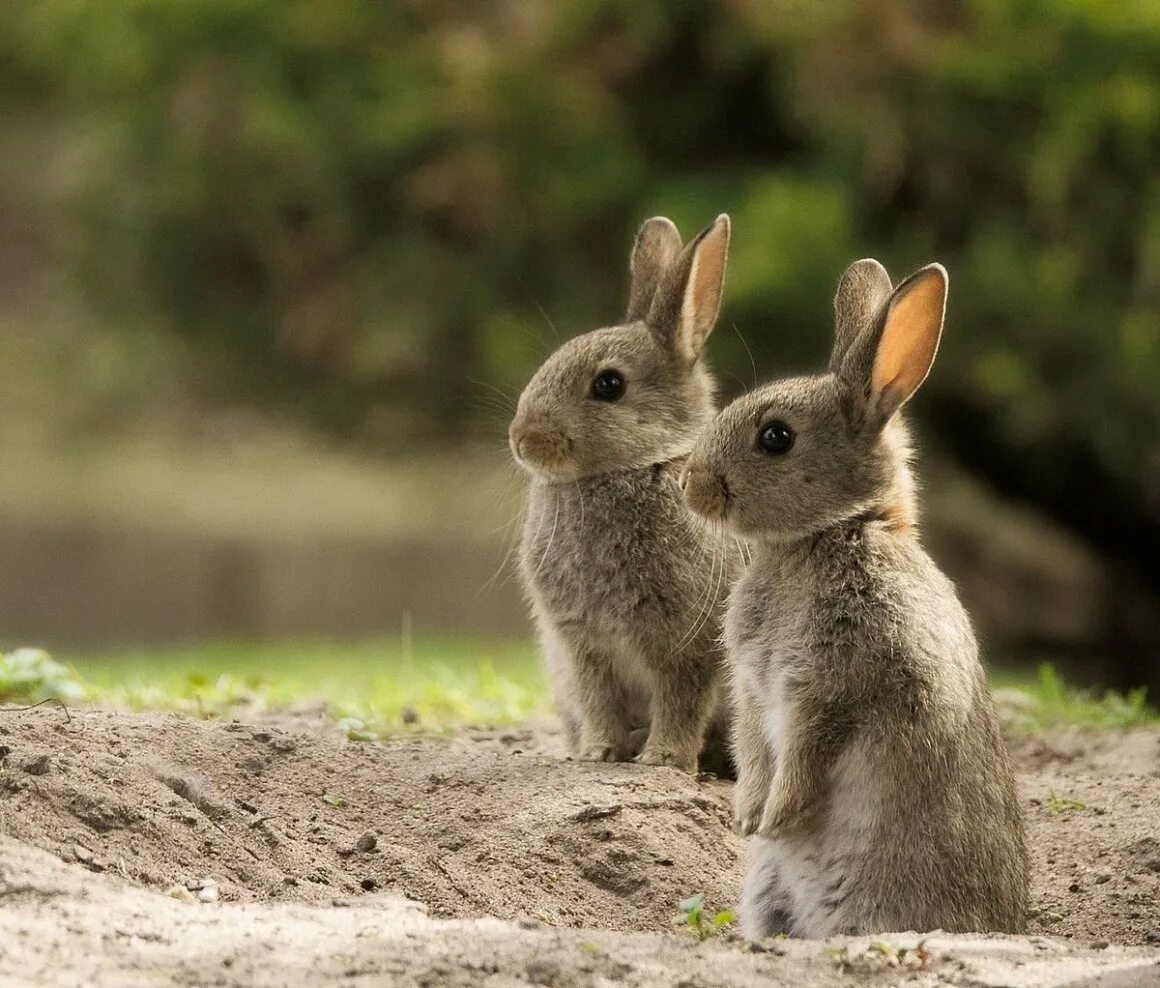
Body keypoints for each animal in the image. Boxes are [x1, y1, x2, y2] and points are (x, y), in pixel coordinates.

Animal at [510, 215, 742, 779]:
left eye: (609, 385)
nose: (522, 439)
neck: (634, 467)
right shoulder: (584, 646)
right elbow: (599, 699)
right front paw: (599, 752)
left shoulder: (688, 644)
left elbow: (681, 701)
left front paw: (664, 760)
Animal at [677, 256, 1025, 932]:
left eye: (776, 437)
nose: (691, 485)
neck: (831, 531)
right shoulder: (754, 688)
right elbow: (753, 744)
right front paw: (747, 816)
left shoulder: (838, 683)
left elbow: (808, 749)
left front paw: (775, 816)